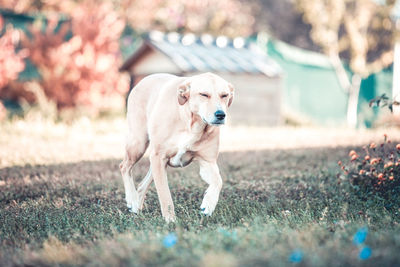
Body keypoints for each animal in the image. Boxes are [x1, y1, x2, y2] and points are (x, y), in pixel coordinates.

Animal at [120, 72, 236, 223]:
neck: (192, 125)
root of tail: (144, 79)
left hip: (154, 161)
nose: (221, 114)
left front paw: (209, 204)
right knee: (124, 167)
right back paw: (132, 199)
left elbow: (218, 181)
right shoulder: (159, 157)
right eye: (204, 94)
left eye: (224, 95)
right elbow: (164, 194)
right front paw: (170, 220)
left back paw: (136, 206)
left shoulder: (207, 162)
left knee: (141, 184)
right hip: (138, 144)